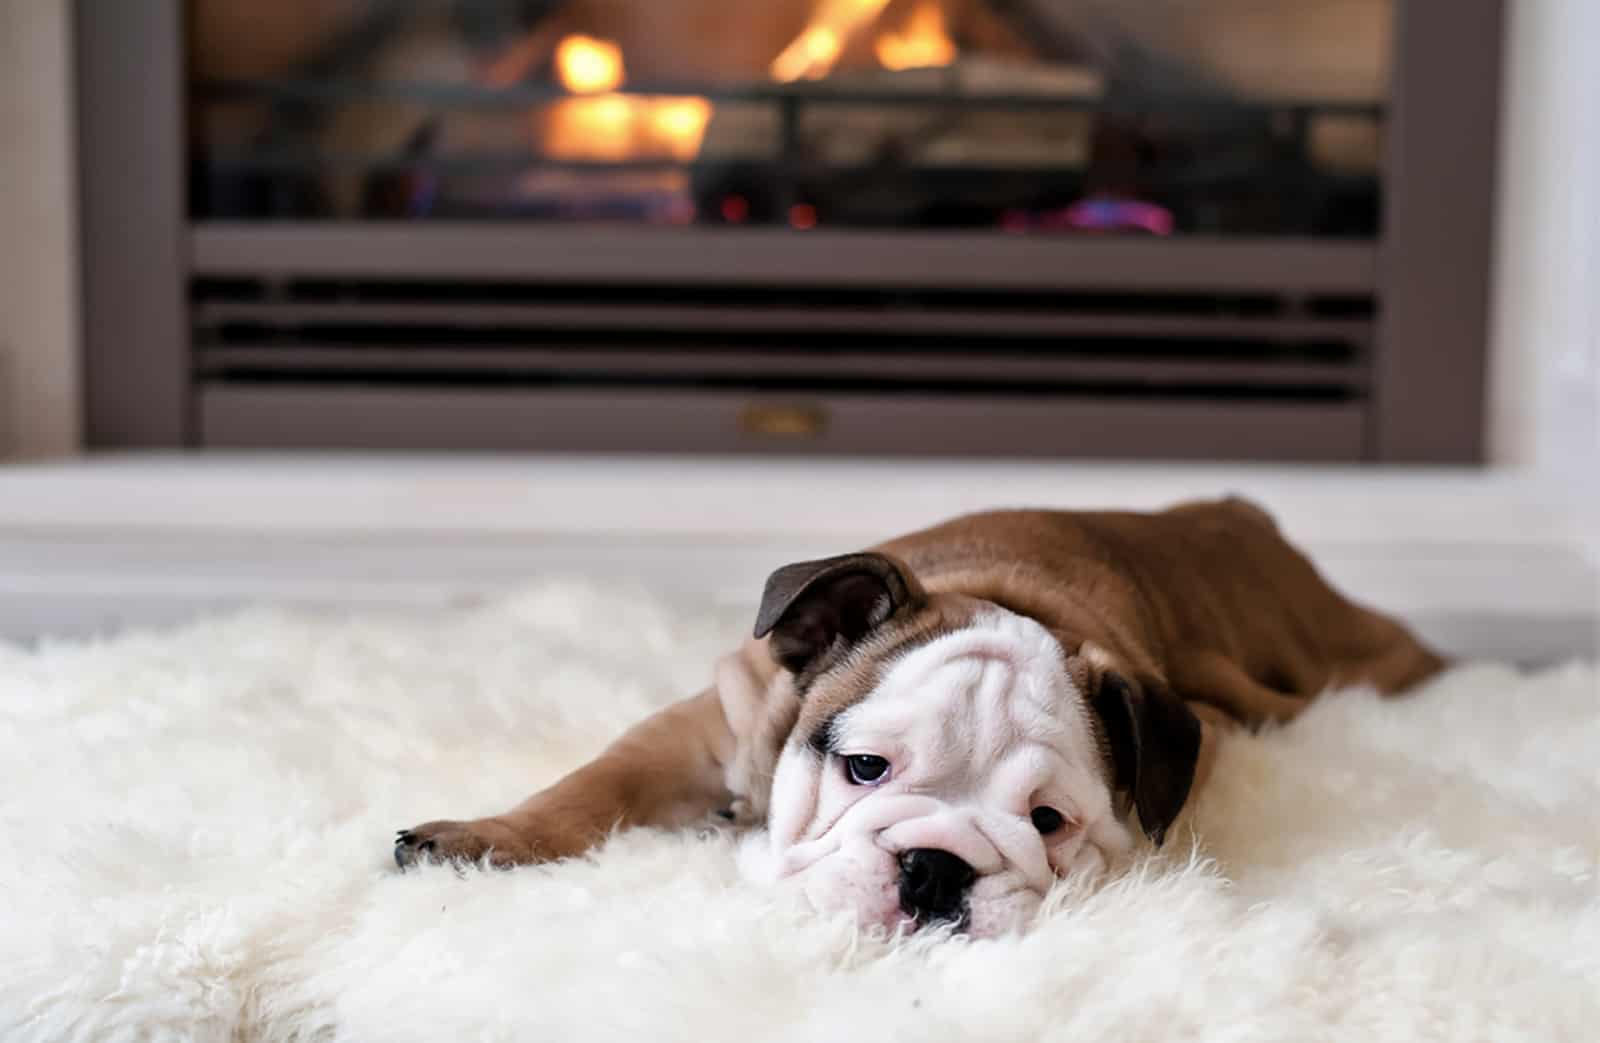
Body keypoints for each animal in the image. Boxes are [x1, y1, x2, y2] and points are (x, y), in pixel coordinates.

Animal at [393, 499, 1446, 934]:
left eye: (1048, 822)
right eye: (864, 768)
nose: (937, 866)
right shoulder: (705, 727)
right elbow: (590, 784)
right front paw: (480, 839)